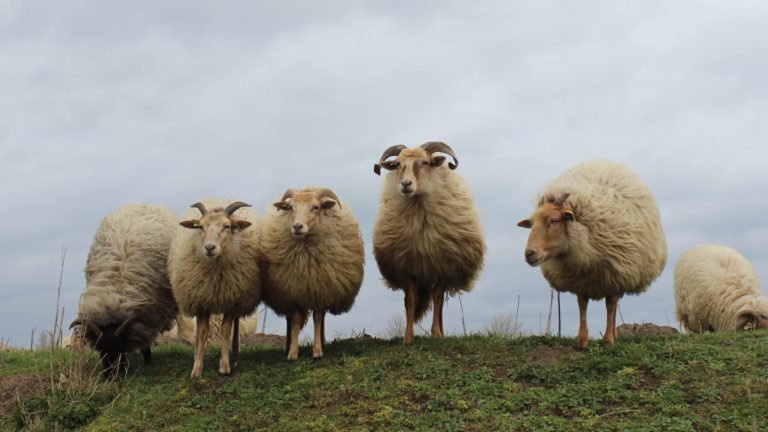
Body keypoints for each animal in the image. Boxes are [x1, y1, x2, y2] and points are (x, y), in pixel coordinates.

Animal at [70, 204, 178, 376]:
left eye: (120, 347)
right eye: (101, 350)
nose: (111, 375)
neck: (115, 289)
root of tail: (142, 203)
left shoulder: (147, 315)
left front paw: (147, 359)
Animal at [170, 199, 262, 378]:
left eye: (227, 226)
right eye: (201, 226)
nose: (209, 248)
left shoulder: (231, 300)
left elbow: (226, 330)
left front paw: (224, 366)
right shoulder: (201, 301)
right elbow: (203, 331)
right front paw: (197, 368)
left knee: (236, 325)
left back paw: (235, 353)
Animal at [260, 187, 364, 360]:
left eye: (316, 207)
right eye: (290, 207)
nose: (297, 226)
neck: (306, 260)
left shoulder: (320, 289)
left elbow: (318, 318)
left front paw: (317, 350)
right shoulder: (294, 292)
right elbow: (295, 320)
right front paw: (293, 352)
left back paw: (322, 341)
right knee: (289, 319)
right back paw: (287, 345)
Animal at [372, 142, 486, 344]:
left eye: (425, 162)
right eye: (397, 164)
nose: (406, 184)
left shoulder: (442, 267)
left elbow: (438, 298)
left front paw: (436, 334)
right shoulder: (408, 268)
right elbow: (410, 301)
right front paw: (408, 338)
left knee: (437, 303)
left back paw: (441, 332)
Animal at [516, 160, 664, 350]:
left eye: (554, 220)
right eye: (532, 223)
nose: (529, 253)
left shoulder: (615, 272)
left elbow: (610, 305)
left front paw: (608, 340)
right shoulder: (581, 278)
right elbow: (582, 305)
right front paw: (582, 340)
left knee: (614, 305)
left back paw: (613, 334)